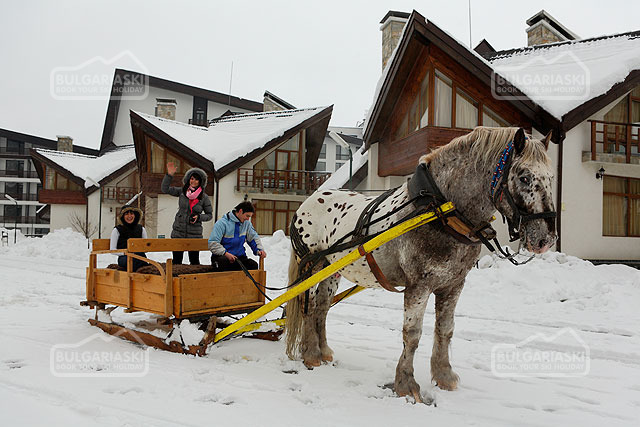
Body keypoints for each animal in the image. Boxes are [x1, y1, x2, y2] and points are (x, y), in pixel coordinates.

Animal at [284, 126, 556, 404]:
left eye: (551, 176)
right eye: (524, 177)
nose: (545, 239)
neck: (440, 210)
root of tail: (307, 203)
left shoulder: (453, 284)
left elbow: (445, 330)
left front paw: (444, 375)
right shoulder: (419, 284)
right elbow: (412, 333)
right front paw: (406, 383)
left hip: (332, 271)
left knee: (321, 308)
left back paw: (323, 351)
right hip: (312, 267)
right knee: (307, 307)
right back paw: (310, 354)